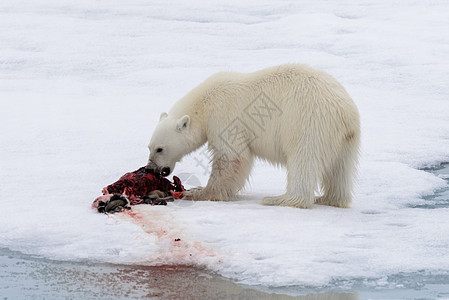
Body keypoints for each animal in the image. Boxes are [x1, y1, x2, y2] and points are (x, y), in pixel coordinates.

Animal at [147, 63, 360, 209]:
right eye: (149, 147)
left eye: (160, 149)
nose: (151, 168)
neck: (203, 104)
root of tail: (345, 112)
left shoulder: (223, 116)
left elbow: (232, 156)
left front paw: (198, 192)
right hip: (345, 139)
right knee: (340, 169)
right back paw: (328, 198)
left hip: (308, 123)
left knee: (303, 160)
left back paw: (279, 199)